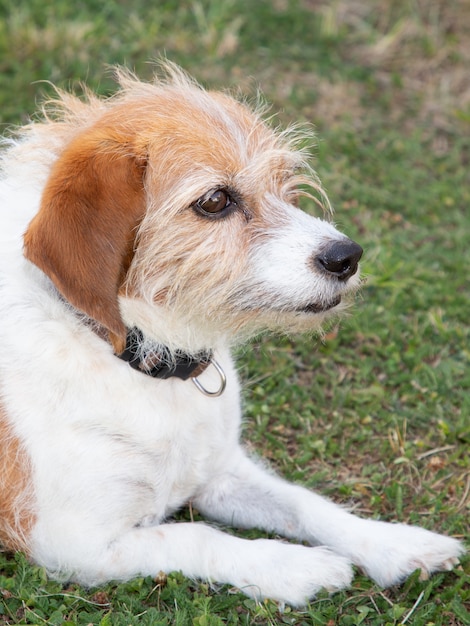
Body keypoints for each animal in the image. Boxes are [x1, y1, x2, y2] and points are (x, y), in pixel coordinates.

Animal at [0, 63, 462, 604]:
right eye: (216, 200)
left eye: (284, 184)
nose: (347, 256)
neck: (135, 354)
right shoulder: (72, 544)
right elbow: (197, 535)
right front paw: (296, 566)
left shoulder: (220, 471)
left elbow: (304, 501)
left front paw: (395, 544)